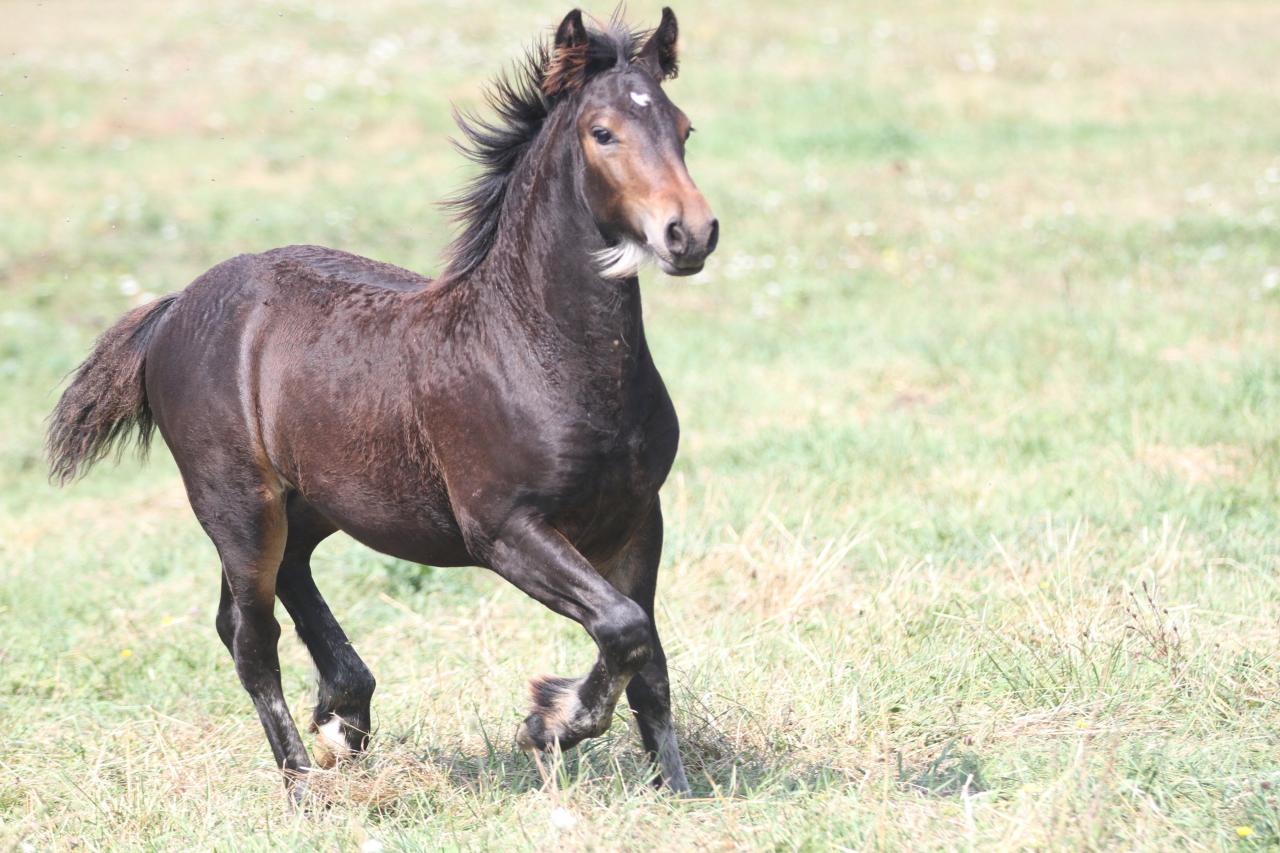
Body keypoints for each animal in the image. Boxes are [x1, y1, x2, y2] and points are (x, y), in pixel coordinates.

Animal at [45, 8, 721, 799]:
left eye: (683, 127)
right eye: (603, 132)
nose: (689, 233)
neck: (535, 348)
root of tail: (177, 305)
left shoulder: (639, 518)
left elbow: (648, 658)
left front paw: (673, 787)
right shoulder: (505, 529)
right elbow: (623, 628)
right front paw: (548, 720)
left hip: (315, 500)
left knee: (282, 582)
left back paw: (346, 712)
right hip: (236, 502)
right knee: (251, 635)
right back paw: (304, 782)